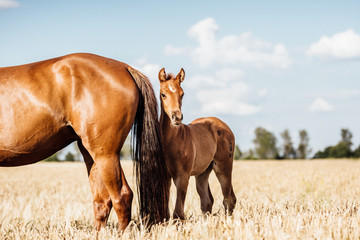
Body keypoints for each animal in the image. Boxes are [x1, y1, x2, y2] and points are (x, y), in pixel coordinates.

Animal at [159, 67, 238, 219]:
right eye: (163, 94)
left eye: (182, 94)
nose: (177, 117)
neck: (172, 140)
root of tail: (224, 125)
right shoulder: (165, 176)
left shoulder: (182, 176)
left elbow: (178, 214)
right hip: (202, 172)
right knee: (207, 200)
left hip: (223, 167)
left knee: (229, 199)